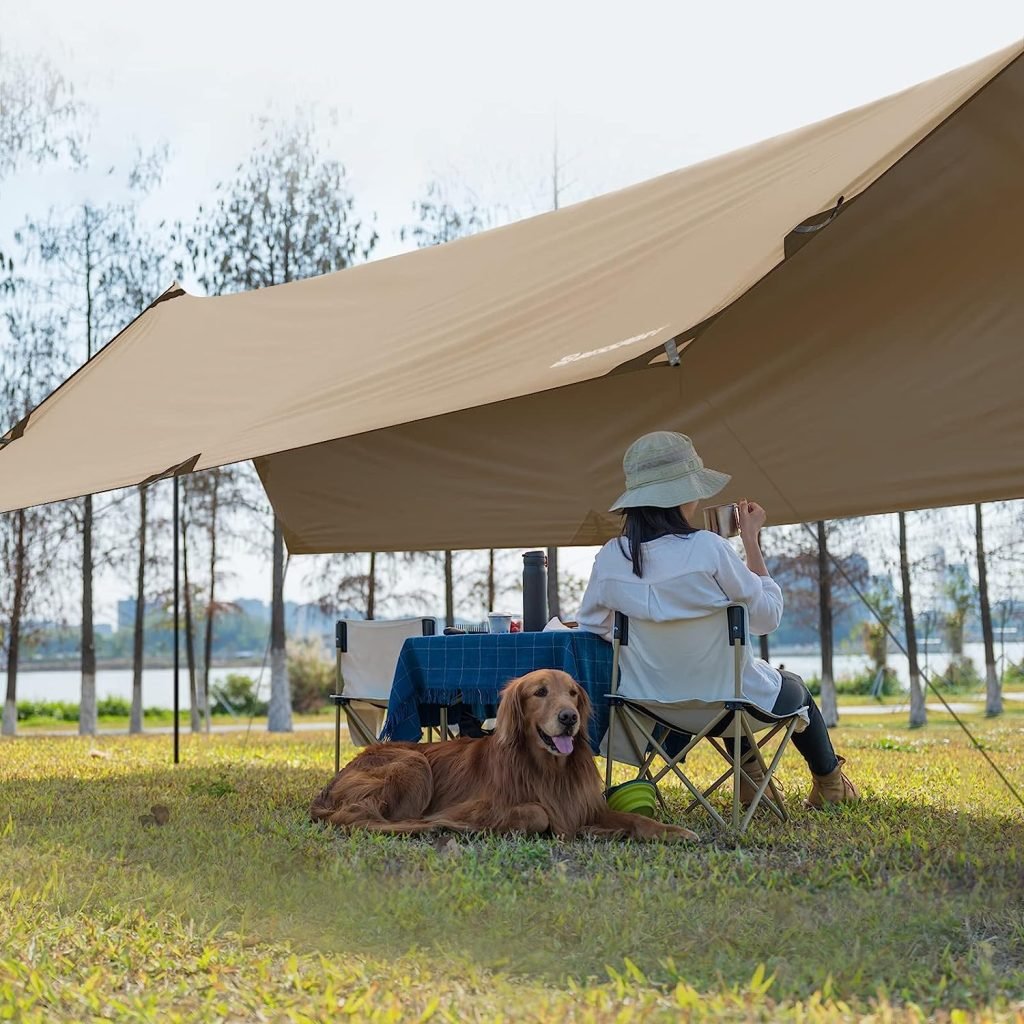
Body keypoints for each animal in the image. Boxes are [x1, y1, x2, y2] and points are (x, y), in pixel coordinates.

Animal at [309, 671, 696, 839]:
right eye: (540, 692)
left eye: (573, 693)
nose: (569, 718)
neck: (548, 769)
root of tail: (326, 790)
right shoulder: (473, 806)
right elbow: (539, 813)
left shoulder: (585, 804)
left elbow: (636, 819)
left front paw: (672, 831)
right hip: (413, 763)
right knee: (361, 818)